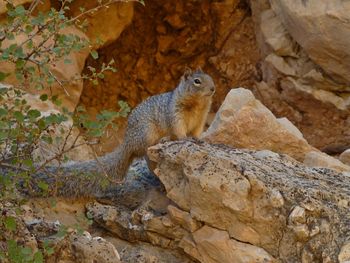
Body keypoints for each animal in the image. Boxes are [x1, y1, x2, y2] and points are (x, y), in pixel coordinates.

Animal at [28, 68, 215, 198]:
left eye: (211, 78)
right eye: (197, 81)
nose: (213, 88)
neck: (197, 105)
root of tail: (126, 144)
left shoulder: (200, 119)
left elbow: (197, 132)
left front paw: (199, 140)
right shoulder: (175, 114)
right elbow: (178, 129)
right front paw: (184, 138)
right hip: (146, 132)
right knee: (146, 147)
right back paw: (163, 139)